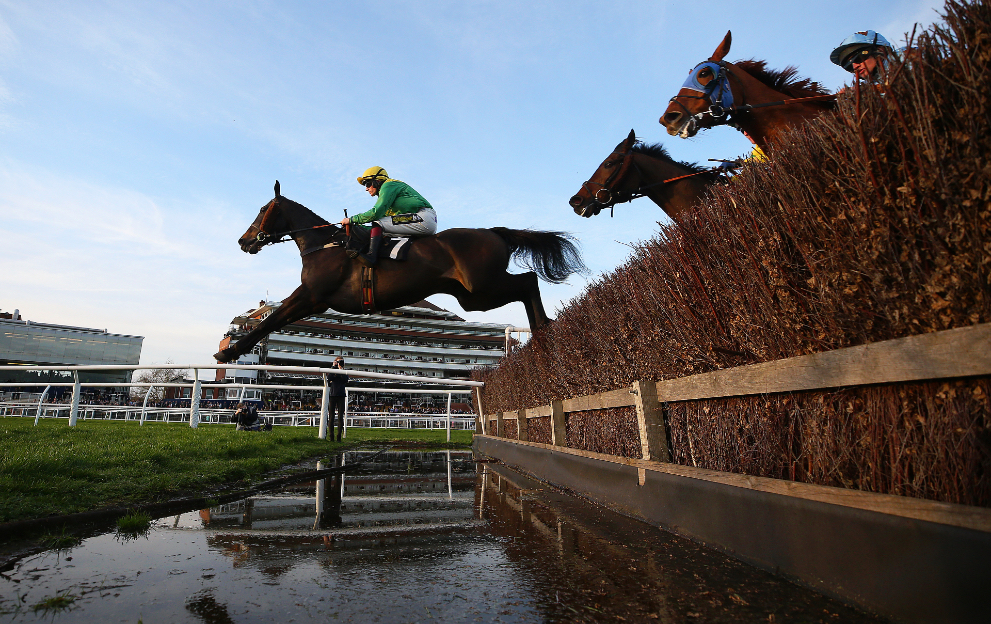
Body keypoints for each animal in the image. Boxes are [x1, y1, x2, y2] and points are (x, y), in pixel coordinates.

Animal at [213, 183, 586, 364]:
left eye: (263, 209)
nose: (244, 241)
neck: (326, 243)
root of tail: (494, 232)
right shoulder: (315, 301)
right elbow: (274, 321)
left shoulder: (311, 295)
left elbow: (270, 321)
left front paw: (229, 351)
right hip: (473, 296)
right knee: (525, 284)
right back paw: (543, 331)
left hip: (482, 288)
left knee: (528, 281)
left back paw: (543, 328)